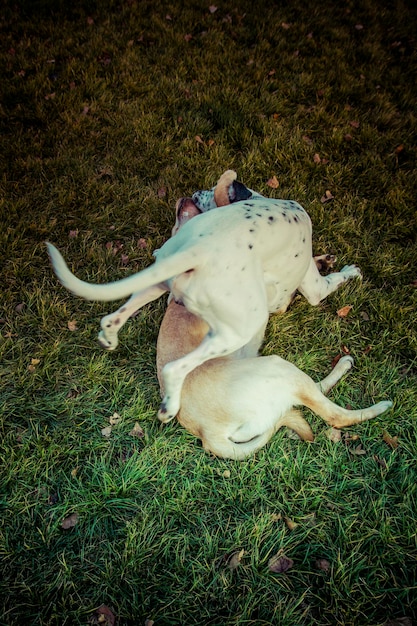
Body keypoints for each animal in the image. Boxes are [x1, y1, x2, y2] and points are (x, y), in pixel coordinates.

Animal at [45, 171, 360, 422]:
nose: (193, 193)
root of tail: (201, 248)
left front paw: (326, 259)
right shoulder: (314, 289)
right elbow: (331, 281)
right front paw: (348, 271)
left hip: (159, 282)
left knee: (114, 317)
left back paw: (109, 337)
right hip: (239, 328)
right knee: (174, 369)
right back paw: (168, 407)